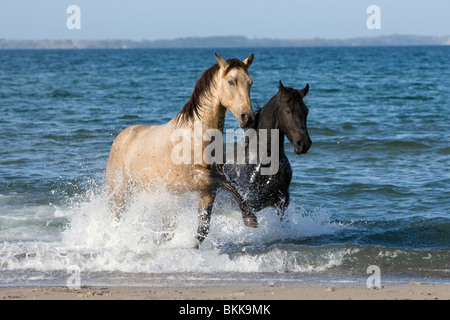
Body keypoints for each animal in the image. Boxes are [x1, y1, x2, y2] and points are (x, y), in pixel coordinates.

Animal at [104, 52, 253, 248]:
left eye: (250, 82)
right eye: (231, 81)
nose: (247, 118)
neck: (196, 136)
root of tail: (121, 137)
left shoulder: (207, 190)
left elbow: (203, 229)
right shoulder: (195, 177)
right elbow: (228, 183)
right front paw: (250, 217)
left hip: (165, 198)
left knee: (168, 229)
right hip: (120, 194)